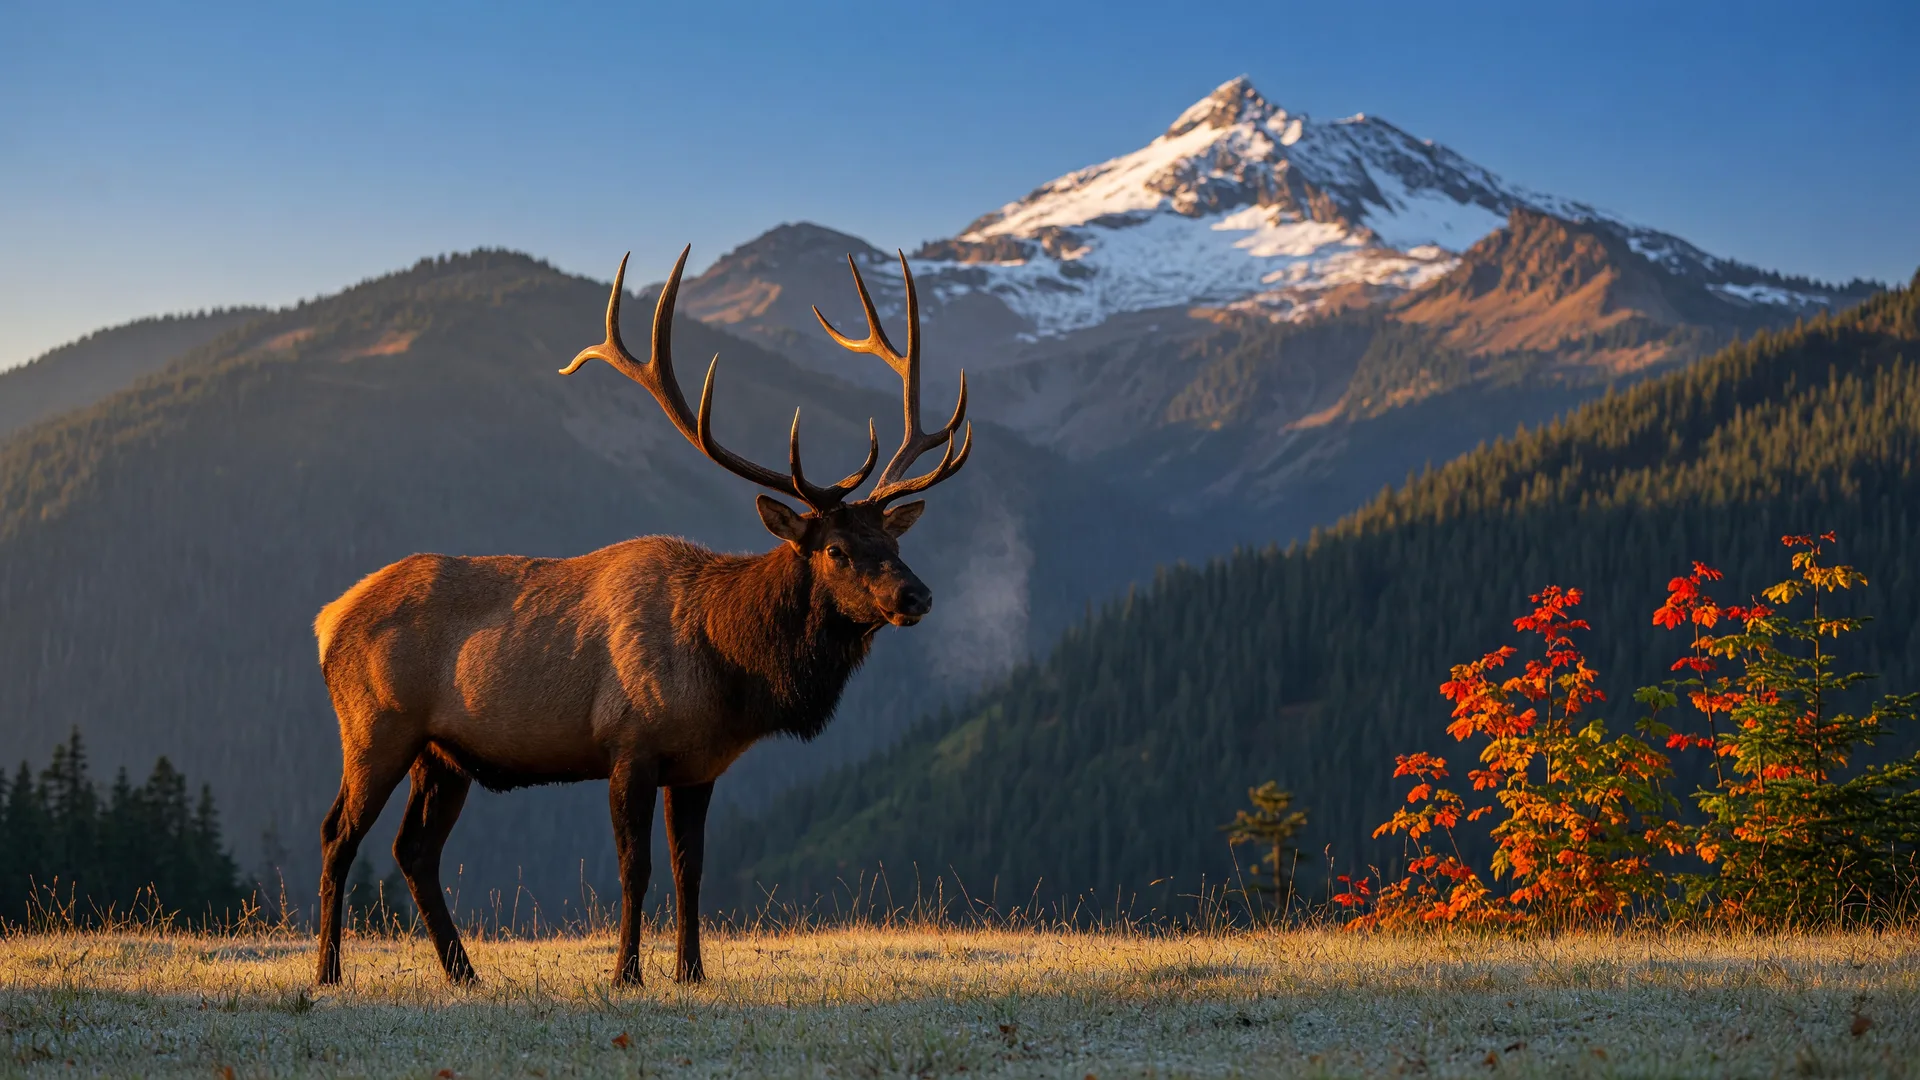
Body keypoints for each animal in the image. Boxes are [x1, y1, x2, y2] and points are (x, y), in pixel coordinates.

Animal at [310, 245, 969, 987]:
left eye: (894, 542)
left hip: (444, 752)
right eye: (836, 549)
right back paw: (328, 972)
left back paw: (465, 973)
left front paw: (692, 972)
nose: (917, 597)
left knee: (413, 849)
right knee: (338, 834)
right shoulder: (629, 744)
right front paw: (626, 973)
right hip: (375, 728)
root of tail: (328, 620)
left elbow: (691, 871)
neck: (729, 666)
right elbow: (636, 868)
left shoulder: (699, 766)